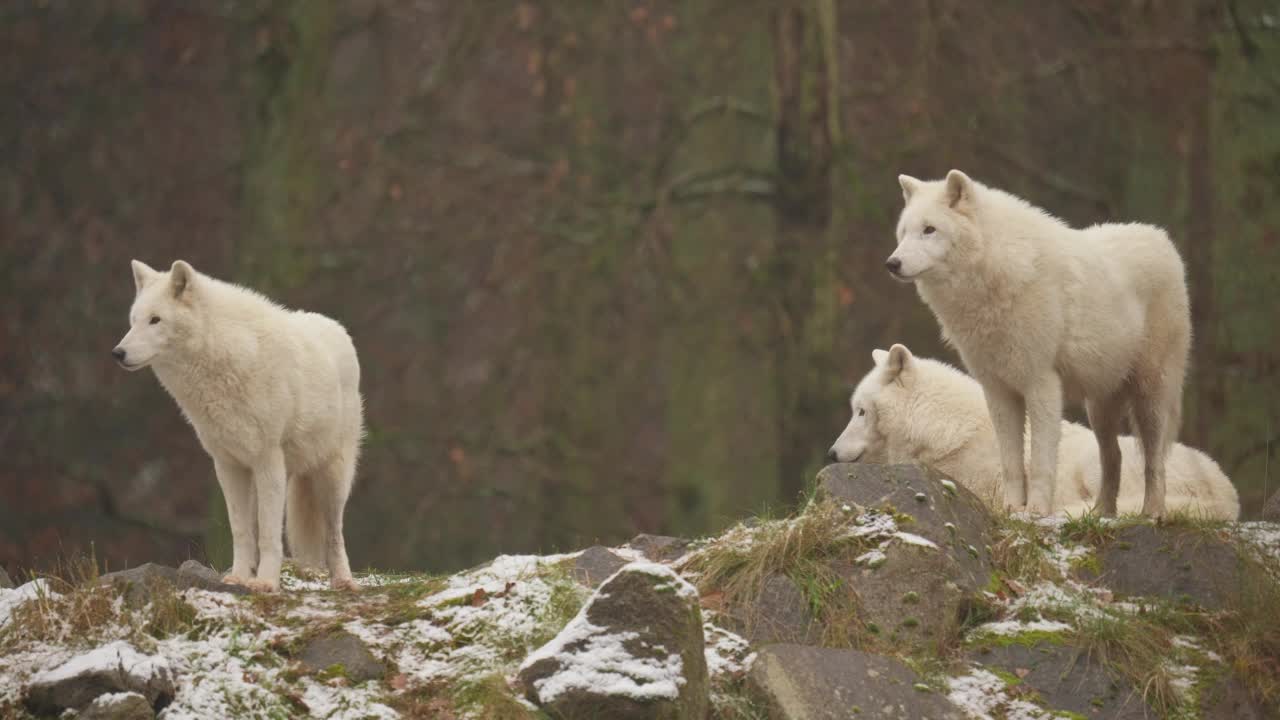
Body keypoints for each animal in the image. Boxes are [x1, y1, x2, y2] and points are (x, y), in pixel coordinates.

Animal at [115, 257, 366, 589]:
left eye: (155, 320)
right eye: (133, 321)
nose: (118, 353)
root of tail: (338, 328)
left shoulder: (267, 460)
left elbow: (270, 535)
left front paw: (266, 584)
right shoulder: (228, 465)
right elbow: (242, 530)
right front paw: (238, 577)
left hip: (331, 476)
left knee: (335, 533)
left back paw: (344, 581)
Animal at [890, 169, 1187, 515]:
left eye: (929, 230)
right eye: (903, 232)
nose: (892, 263)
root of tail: (1160, 237)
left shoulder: (1041, 384)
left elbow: (1041, 461)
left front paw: (1036, 512)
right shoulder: (999, 391)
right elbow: (1011, 462)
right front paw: (1010, 509)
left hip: (1150, 397)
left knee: (1154, 460)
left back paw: (1152, 513)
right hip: (1099, 408)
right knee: (1113, 457)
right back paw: (1101, 515)